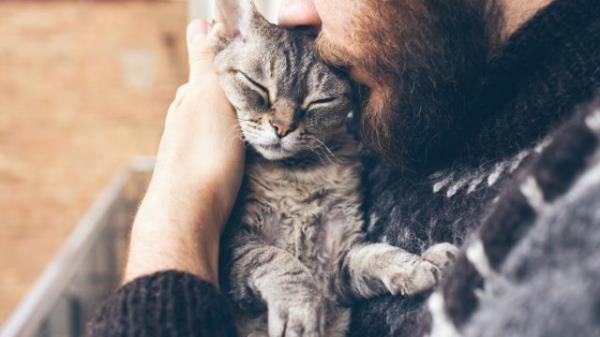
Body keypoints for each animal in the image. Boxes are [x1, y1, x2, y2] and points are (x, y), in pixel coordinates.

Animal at [209, 1, 458, 334]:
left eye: (320, 102)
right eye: (257, 86)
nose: (282, 128)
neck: (298, 174)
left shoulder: (338, 261)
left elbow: (374, 254)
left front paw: (418, 263)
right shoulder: (233, 244)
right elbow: (279, 260)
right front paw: (301, 309)